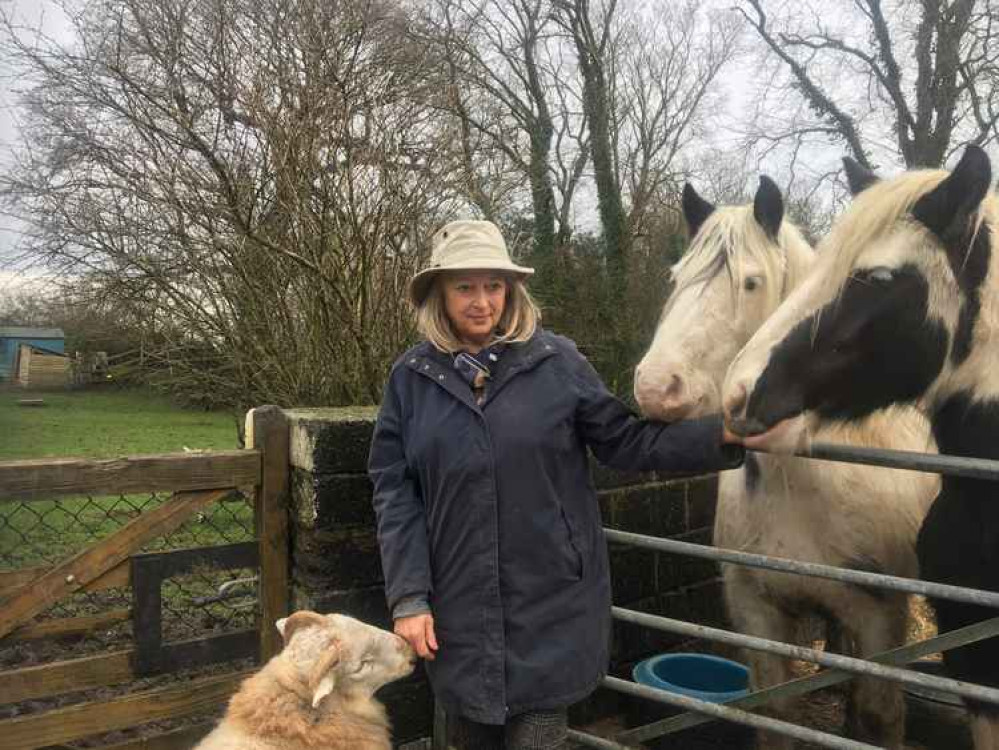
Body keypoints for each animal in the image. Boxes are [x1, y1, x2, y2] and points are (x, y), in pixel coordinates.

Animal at [636, 179, 940, 748]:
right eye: (674, 278)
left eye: (751, 283)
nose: (656, 389)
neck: (799, 485)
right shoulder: (757, 613)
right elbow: (775, 714)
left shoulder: (880, 620)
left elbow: (882, 715)